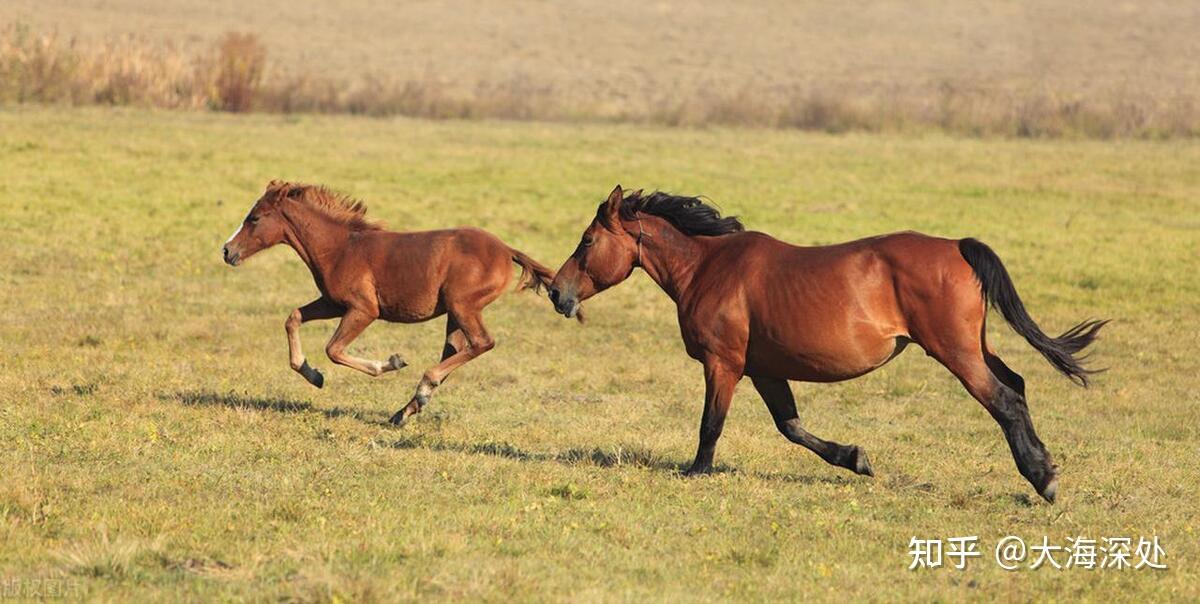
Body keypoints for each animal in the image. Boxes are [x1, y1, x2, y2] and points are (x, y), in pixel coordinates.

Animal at [222, 180, 570, 426]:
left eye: (254, 218)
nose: (227, 251)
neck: (341, 247)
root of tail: (506, 250)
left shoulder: (364, 310)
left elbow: (334, 350)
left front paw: (390, 362)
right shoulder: (332, 303)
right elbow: (293, 317)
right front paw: (313, 374)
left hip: (463, 306)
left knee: (482, 342)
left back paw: (423, 386)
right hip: (455, 313)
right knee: (457, 350)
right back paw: (406, 410)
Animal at [546, 185, 1107, 503]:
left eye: (588, 241)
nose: (556, 291)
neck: (708, 267)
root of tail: (956, 246)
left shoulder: (723, 364)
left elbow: (711, 424)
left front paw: (696, 473)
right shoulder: (764, 369)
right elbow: (791, 426)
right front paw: (855, 458)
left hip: (957, 353)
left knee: (1005, 400)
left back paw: (1042, 480)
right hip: (976, 347)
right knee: (1018, 386)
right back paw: (1043, 467)